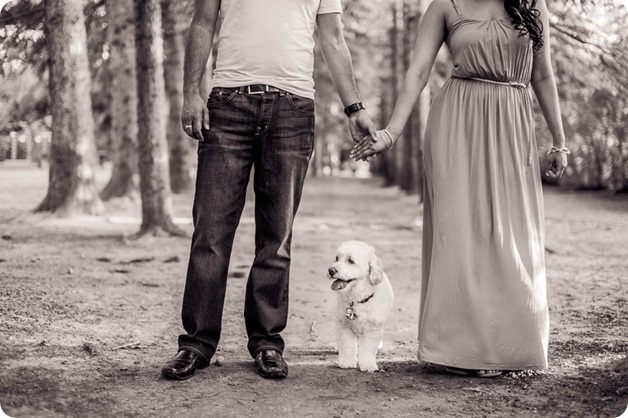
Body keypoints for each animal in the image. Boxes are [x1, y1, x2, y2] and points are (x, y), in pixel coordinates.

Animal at [328, 240, 392, 370]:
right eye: (337, 258)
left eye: (351, 261)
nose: (331, 270)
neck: (356, 299)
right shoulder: (344, 326)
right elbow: (347, 346)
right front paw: (346, 362)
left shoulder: (373, 329)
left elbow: (367, 349)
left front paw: (368, 365)